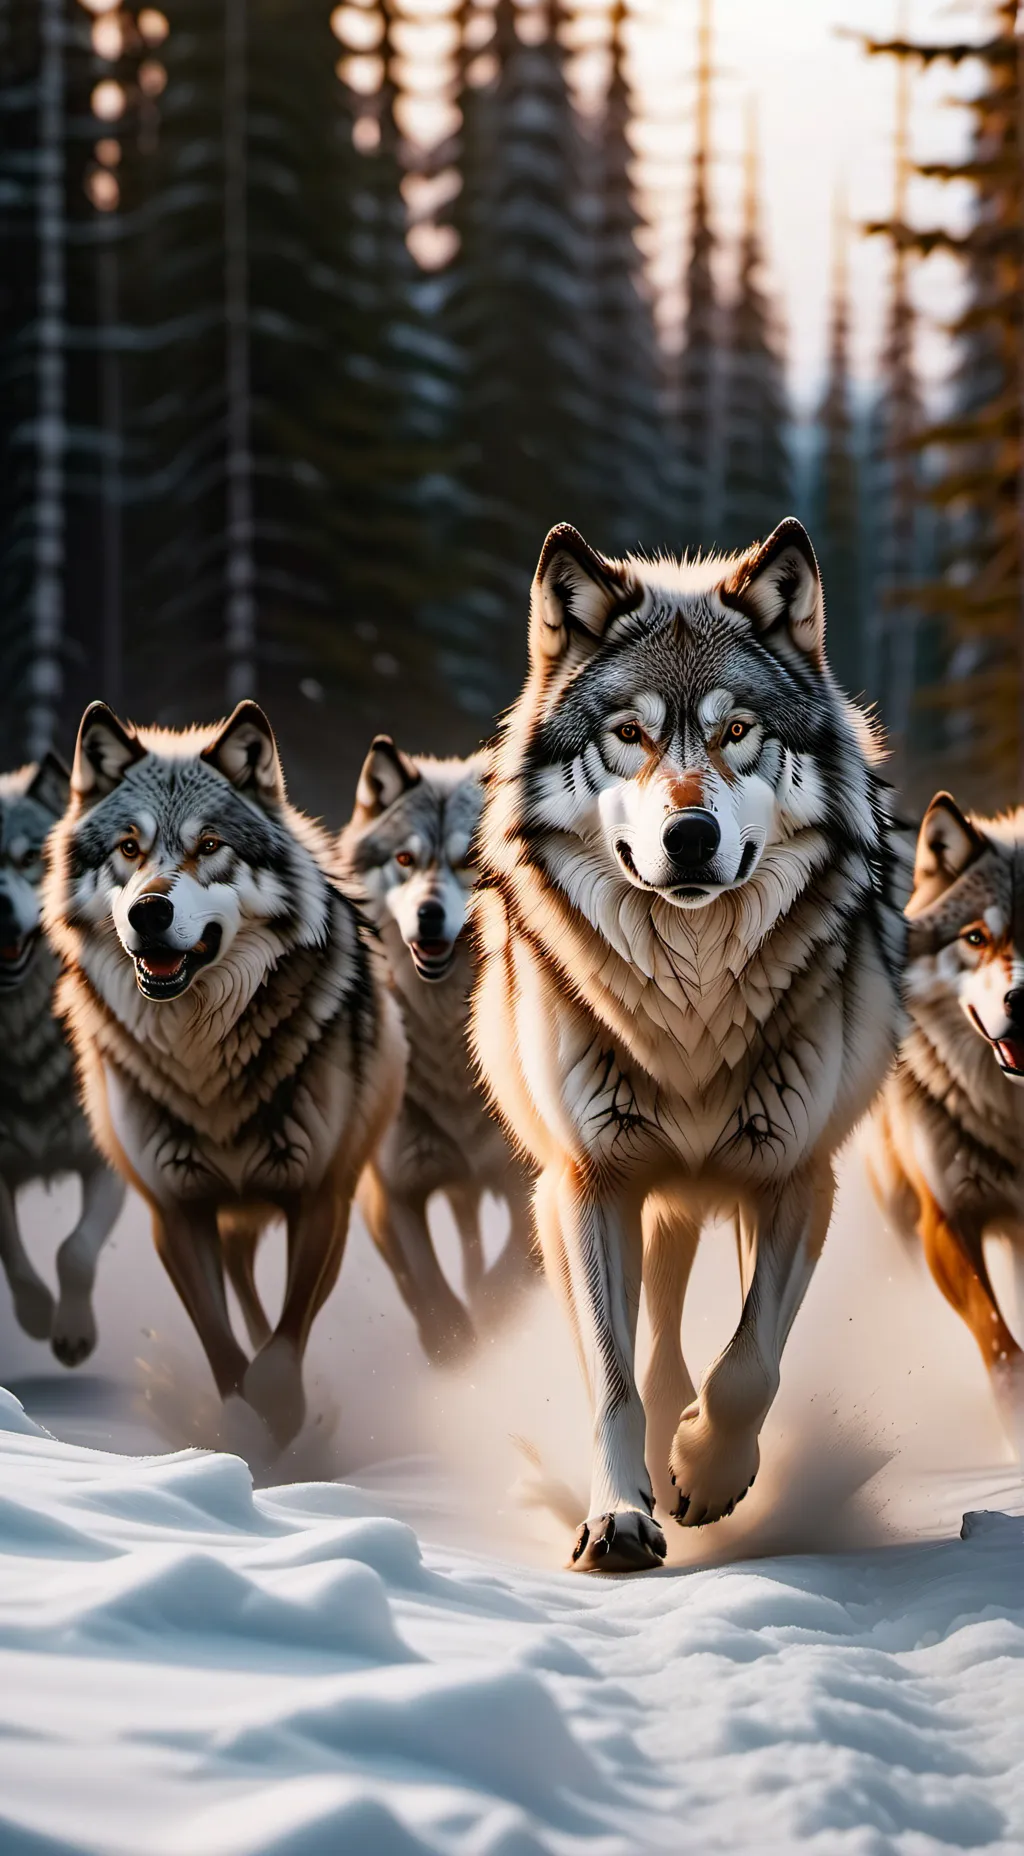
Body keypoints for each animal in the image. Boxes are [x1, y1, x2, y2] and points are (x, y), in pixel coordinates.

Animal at [43, 700, 405, 1442]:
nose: (150, 911)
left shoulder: (321, 1197)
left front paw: (283, 1417)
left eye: (209, 845)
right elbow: (222, 1347)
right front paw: (243, 1426)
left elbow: (284, 1345)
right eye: (128, 848)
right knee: (240, 1283)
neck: (205, 1058)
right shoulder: (177, 1210)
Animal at [341, 738, 536, 1363]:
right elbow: (423, 1283)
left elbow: (514, 1271)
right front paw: (450, 1342)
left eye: (468, 860)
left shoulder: (530, 1177)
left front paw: (492, 1316)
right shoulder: (392, 1191)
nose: (429, 915)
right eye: (405, 860)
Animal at [471, 518, 906, 1570]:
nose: (692, 836)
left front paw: (709, 1473)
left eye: (735, 730)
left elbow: (750, 1365)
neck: (691, 1009)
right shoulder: (587, 1183)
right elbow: (616, 1378)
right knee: (655, 1345)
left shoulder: (793, 1175)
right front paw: (621, 1514)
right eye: (628, 733)